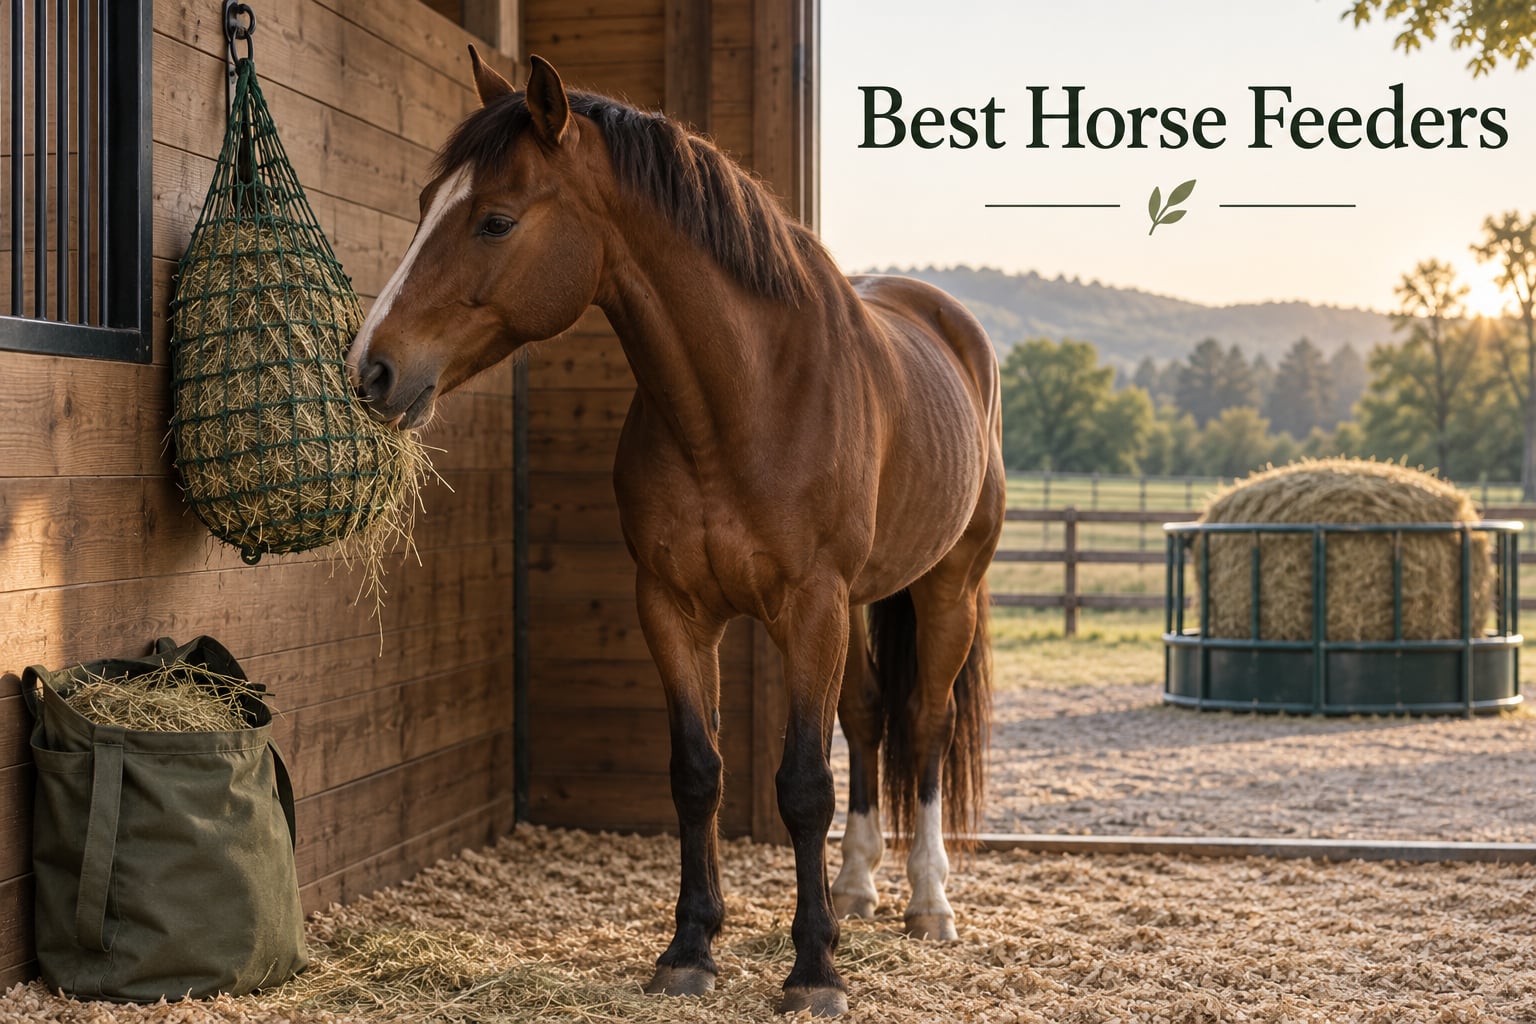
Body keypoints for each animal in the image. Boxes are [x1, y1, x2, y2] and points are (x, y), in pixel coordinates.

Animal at [347, 49, 1005, 1018]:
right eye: (429, 200)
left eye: (496, 220)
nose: (372, 369)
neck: (746, 398)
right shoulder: (673, 606)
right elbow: (697, 772)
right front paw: (691, 948)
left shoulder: (810, 607)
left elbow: (801, 786)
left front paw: (814, 970)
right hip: (863, 603)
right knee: (870, 716)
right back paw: (856, 889)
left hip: (946, 588)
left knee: (923, 722)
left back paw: (929, 903)